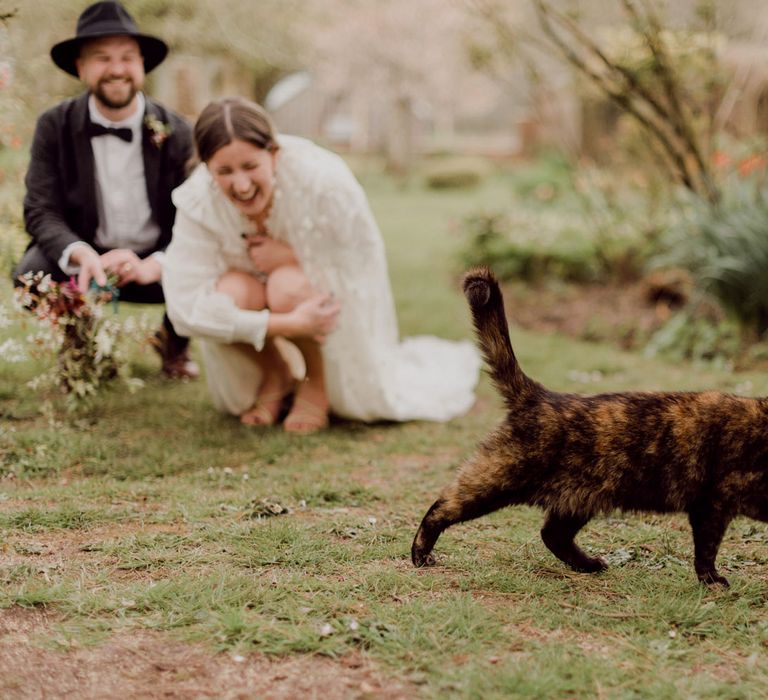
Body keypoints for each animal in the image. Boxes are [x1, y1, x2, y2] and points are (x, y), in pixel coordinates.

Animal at [414, 268, 768, 584]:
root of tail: (539, 395)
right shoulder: (713, 504)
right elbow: (706, 550)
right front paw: (711, 580)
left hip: (577, 499)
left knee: (552, 534)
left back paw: (589, 565)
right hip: (497, 479)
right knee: (443, 506)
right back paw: (420, 554)